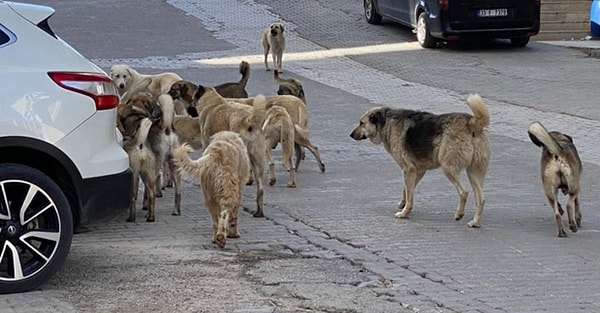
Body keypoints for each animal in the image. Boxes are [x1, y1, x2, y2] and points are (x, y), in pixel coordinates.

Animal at [191, 85, 268, 217]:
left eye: (192, 99)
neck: (212, 101)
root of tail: (249, 120)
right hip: (257, 161)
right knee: (260, 189)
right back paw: (259, 211)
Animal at [350, 92, 490, 227]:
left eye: (361, 123)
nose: (350, 135)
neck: (387, 122)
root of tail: (470, 122)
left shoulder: (408, 170)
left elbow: (409, 195)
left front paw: (404, 213)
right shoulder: (418, 171)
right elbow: (407, 191)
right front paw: (403, 204)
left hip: (448, 167)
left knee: (464, 192)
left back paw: (459, 214)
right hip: (474, 173)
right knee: (481, 199)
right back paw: (475, 222)